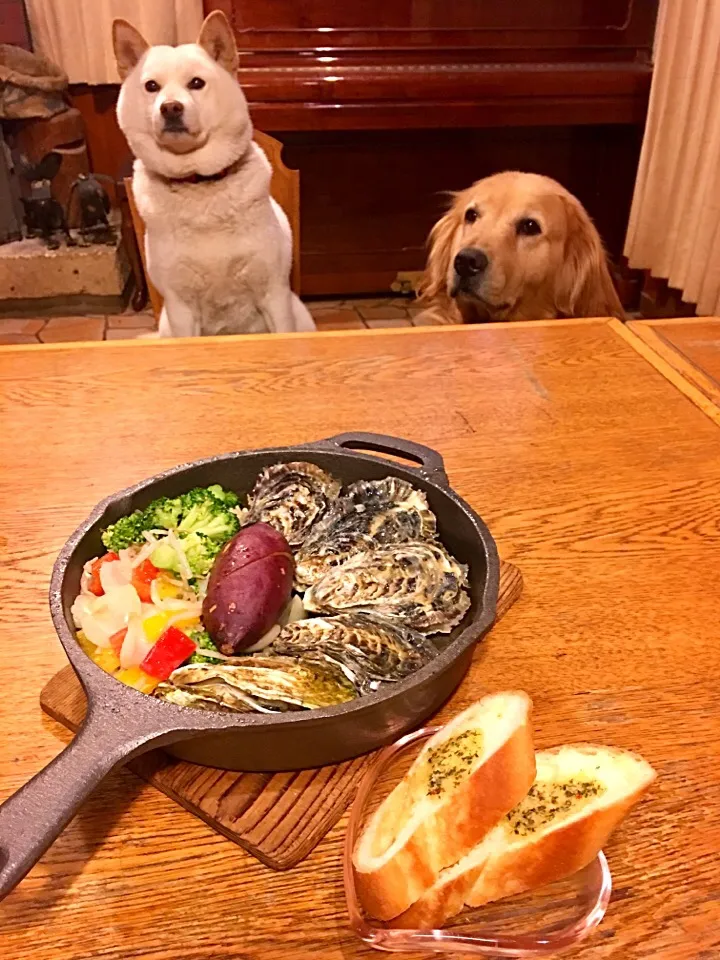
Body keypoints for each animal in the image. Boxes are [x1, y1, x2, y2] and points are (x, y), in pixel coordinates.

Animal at [113, 12, 316, 338]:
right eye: (151, 86)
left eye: (196, 83)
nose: (170, 108)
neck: (199, 182)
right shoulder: (181, 309)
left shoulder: (273, 295)